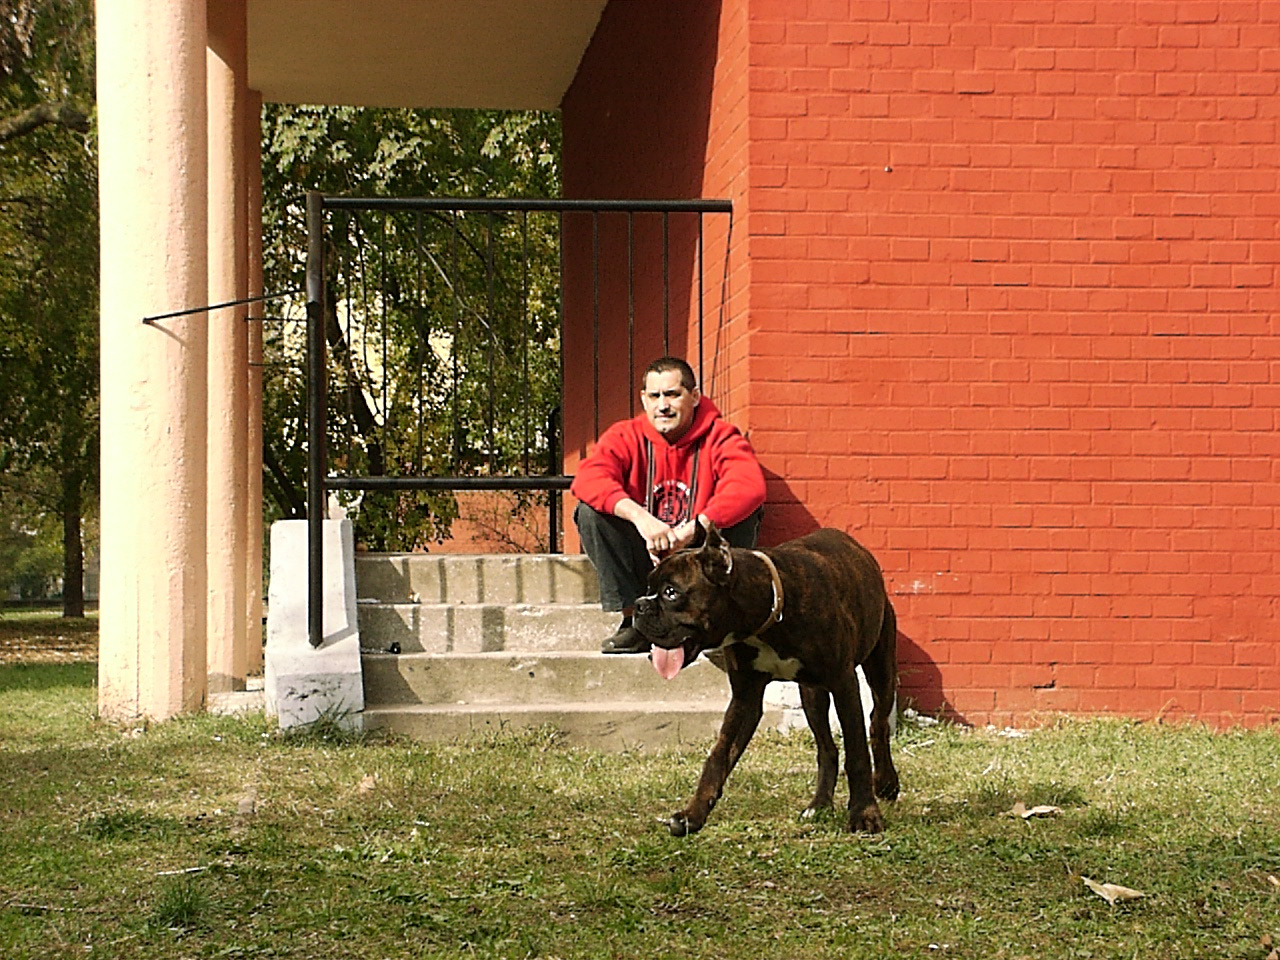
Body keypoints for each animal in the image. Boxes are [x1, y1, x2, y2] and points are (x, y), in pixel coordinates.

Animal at [632, 522, 901, 839]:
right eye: (649, 590)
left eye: (671, 593)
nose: (639, 605)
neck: (769, 614)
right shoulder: (745, 699)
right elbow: (718, 756)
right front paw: (693, 815)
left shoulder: (844, 684)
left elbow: (857, 752)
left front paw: (864, 814)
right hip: (812, 695)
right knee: (827, 748)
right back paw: (819, 804)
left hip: (881, 671)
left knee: (878, 724)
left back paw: (885, 782)